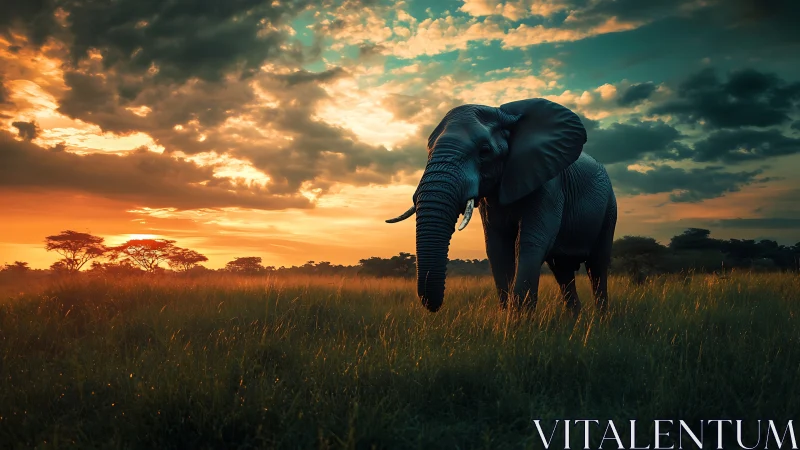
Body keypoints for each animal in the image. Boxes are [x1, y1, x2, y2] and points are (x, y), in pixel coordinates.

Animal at [386, 98, 617, 315]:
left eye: (485, 151)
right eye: (428, 151)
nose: (434, 306)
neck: (505, 115)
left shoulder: (548, 184)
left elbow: (530, 243)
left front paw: (520, 323)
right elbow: (497, 248)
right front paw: (508, 320)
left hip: (610, 207)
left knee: (597, 266)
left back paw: (600, 321)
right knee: (563, 271)